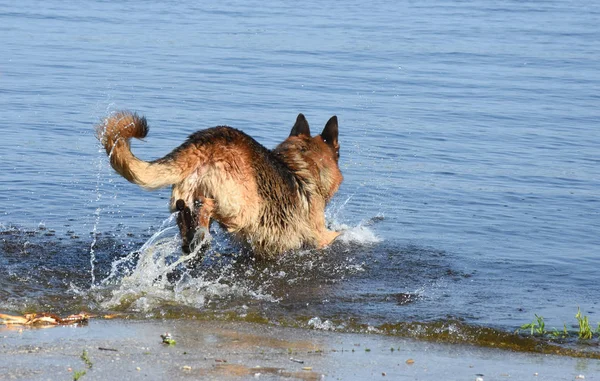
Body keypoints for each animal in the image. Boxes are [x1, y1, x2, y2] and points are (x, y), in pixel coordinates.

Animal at [96, 110, 344, 258]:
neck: (300, 163)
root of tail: (205, 142)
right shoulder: (319, 236)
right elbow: (334, 236)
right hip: (241, 208)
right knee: (207, 206)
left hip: (186, 195)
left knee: (185, 212)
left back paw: (193, 233)